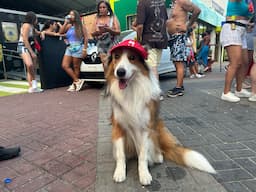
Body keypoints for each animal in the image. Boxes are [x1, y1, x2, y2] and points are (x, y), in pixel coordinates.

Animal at [105, 39, 215, 185]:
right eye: (116, 56)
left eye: (132, 58)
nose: (120, 72)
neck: (131, 89)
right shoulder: (118, 126)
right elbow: (120, 154)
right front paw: (119, 172)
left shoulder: (146, 128)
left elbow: (143, 155)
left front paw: (144, 174)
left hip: (156, 127)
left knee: (158, 148)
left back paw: (157, 156)